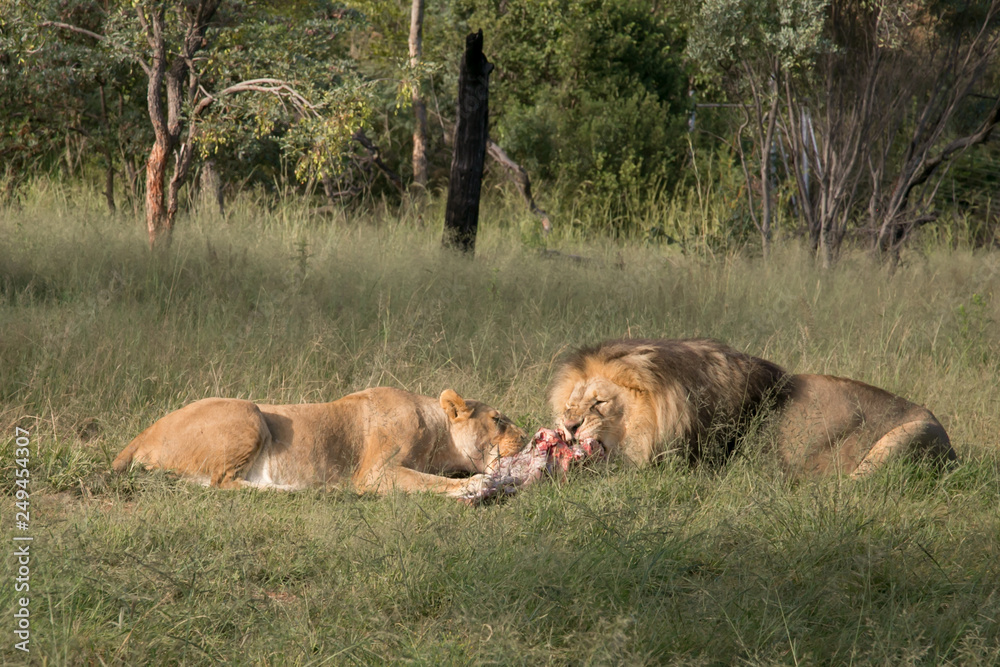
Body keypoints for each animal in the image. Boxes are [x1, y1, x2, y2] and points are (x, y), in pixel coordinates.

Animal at [113, 387, 527, 498]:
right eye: (498, 419)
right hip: (249, 413)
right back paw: (291, 490)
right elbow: (429, 482)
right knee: (220, 483)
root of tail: (140, 436)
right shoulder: (375, 474)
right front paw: (474, 485)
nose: (525, 437)